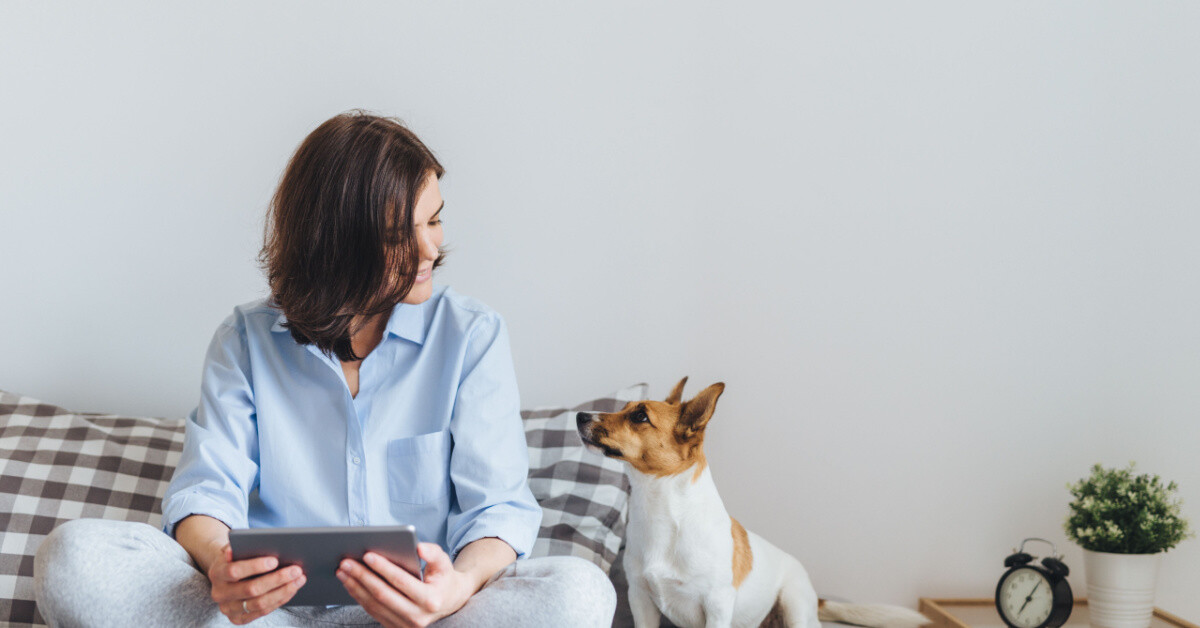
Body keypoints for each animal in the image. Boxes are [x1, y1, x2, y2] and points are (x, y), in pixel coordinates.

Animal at [576, 379, 931, 628]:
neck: (662, 510)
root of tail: (815, 596)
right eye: (624, 408)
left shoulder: (717, 606)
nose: (580, 415)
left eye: (639, 416)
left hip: (794, 604)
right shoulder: (641, 599)